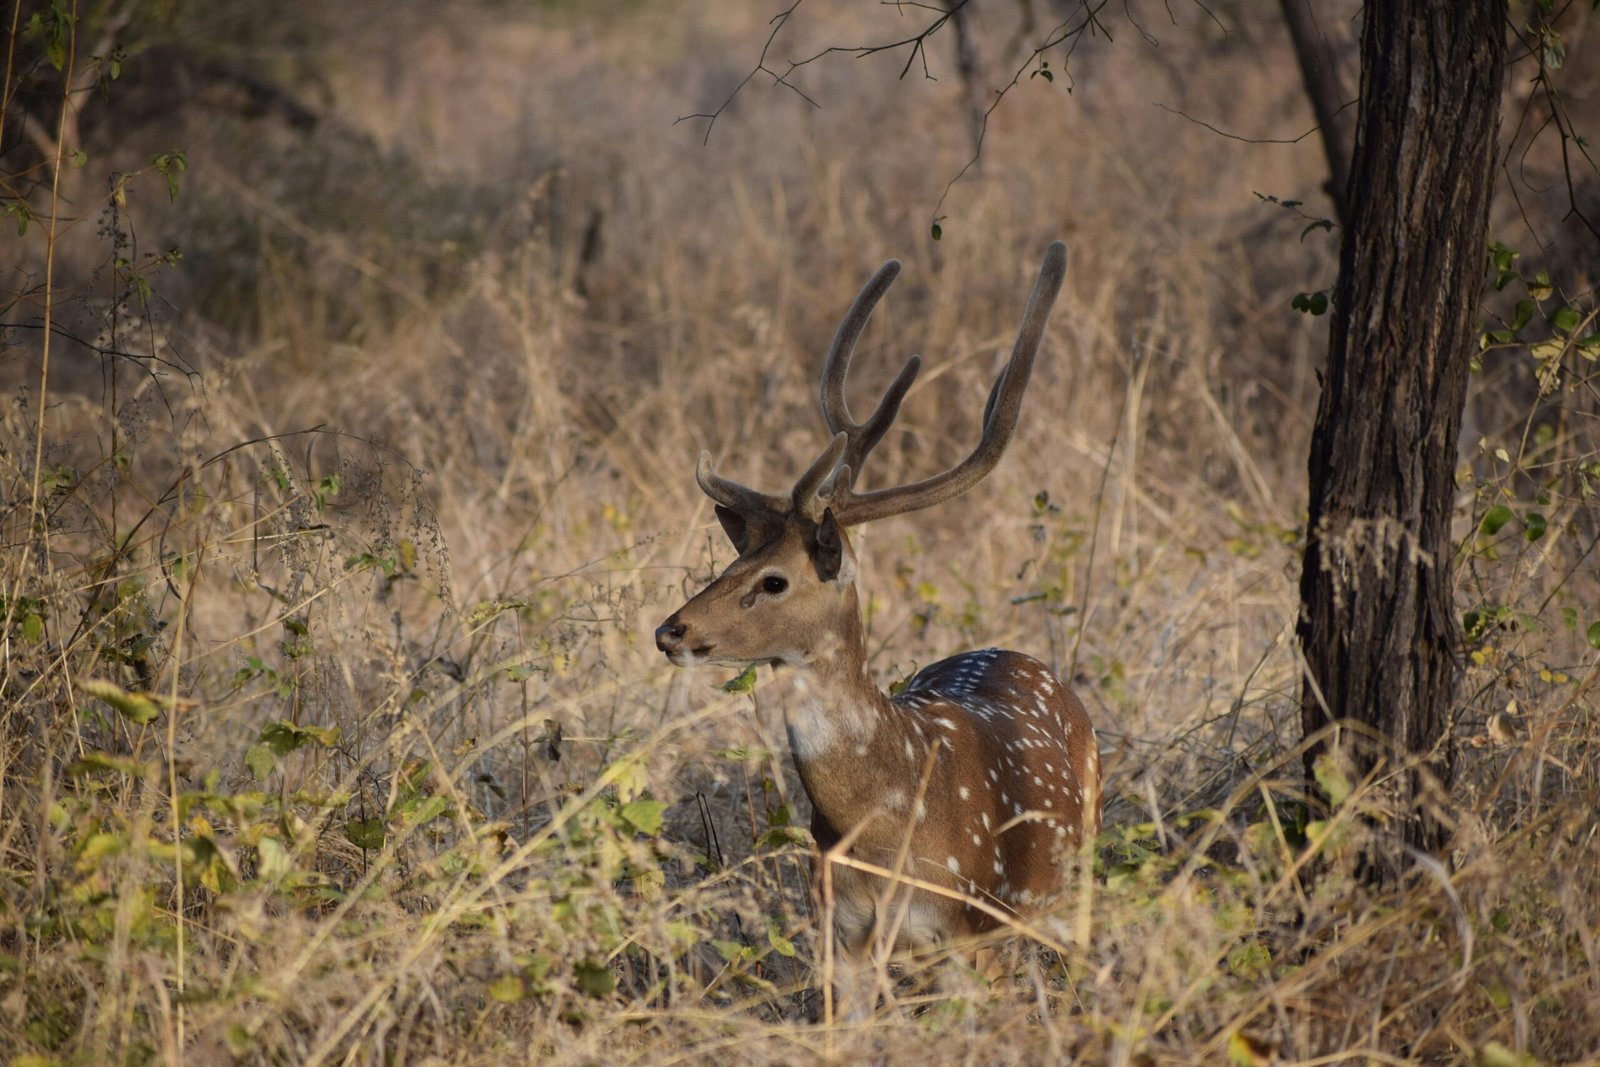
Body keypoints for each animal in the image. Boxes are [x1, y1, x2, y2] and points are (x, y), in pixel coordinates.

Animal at [654, 241, 1101, 1019]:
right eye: (736, 557)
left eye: (775, 580)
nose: (671, 631)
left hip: (1078, 860)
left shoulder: (973, 932)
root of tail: (1025, 658)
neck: (886, 823)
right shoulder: (842, 931)